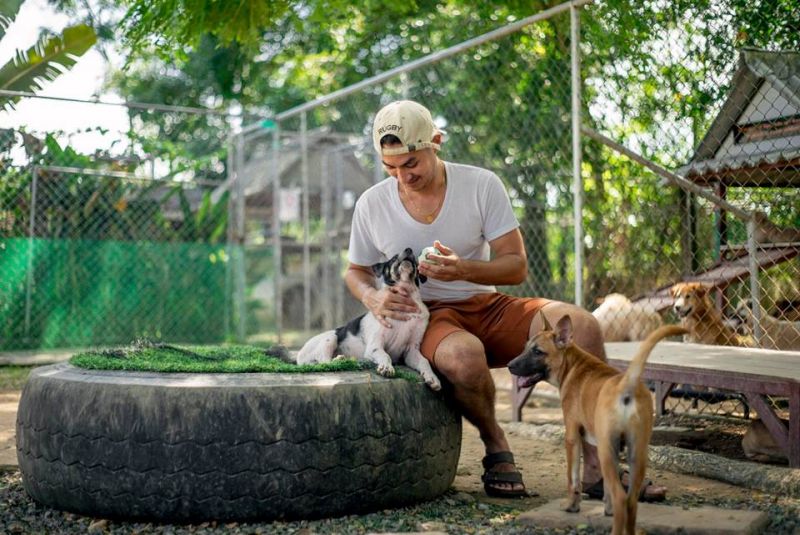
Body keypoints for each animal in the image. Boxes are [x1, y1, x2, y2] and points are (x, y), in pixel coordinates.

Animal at [296, 249, 440, 392]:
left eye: (415, 260)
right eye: (393, 258)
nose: (408, 249)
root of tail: (299, 356)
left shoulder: (411, 350)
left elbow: (424, 361)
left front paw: (432, 377)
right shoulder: (374, 346)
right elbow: (385, 355)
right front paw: (386, 367)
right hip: (331, 338)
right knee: (324, 361)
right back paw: (339, 360)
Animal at [510, 314, 684, 535]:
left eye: (537, 351)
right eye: (526, 347)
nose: (509, 365)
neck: (573, 366)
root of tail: (626, 385)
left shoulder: (572, 438)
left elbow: (573, 479)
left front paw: (571, 506)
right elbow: (607, 489)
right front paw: (606, 510)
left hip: (606, 450)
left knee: (621, 499)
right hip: (636, 452)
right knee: (630, 501)